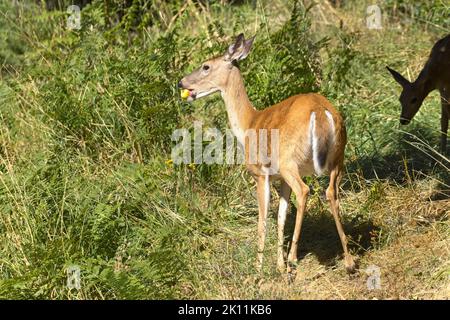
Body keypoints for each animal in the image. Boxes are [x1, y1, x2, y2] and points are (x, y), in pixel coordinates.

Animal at [178, 32, 356, 274]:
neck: (248, 123)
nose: (182, 82)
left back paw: (293, 258)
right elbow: (280, 217)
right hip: (338, 158)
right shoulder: (280, 178)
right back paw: (349, 261)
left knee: (304, 191)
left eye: (206, 66)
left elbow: (263, 220)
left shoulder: (260, 174)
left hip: (289, 160)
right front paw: (279, 267)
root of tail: (320, 112)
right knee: (331, 192)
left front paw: (258, 269)